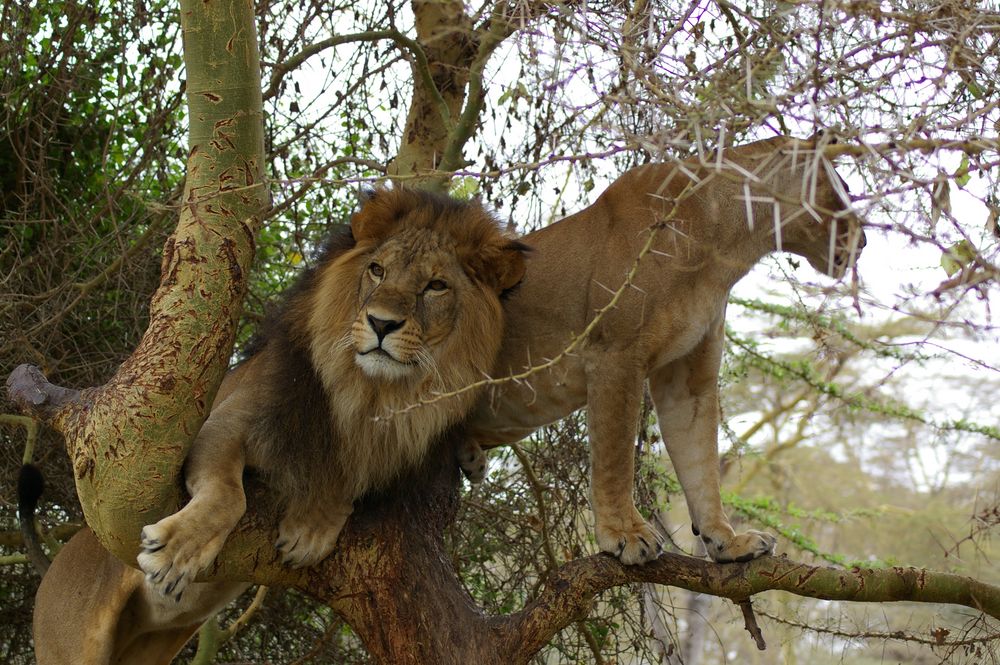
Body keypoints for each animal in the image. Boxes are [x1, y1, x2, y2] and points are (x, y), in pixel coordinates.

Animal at [27, 187, 528, 664]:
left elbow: (346, 478)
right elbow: (229, 496)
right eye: (377, 270)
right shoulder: (225, 423)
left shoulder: (388, 450)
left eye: (436, 286)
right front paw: (175, 550)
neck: (372, 394)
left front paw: (313, 525)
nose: (381, 324)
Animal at [458, 135, 864, 564]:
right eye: (844, 189)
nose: (865, 241)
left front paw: (727, 541)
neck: (728, 247)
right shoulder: (615, 354)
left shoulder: (688, 378)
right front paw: (625, 533)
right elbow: (616, 455)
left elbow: (701, 462)